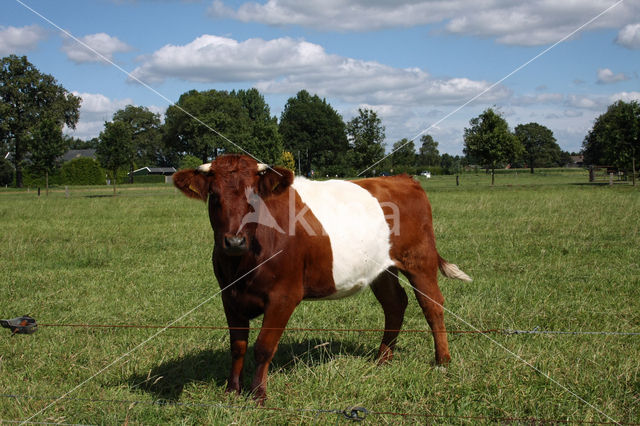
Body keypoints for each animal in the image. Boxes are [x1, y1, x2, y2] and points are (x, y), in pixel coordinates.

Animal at [172, 153, 472, 402]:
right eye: (214, 196)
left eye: (255, 197)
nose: (234, 241)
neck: (242, 266)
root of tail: (401, 178)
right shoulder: (228, 295)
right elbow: (238, 345)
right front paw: (232, 391)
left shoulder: (284, 296)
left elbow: (263, 347)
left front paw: (258, 396)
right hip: (381, 270)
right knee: (395, 304)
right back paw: (382, 359)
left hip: (420, 260)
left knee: (432, 305)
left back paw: (442, 360)